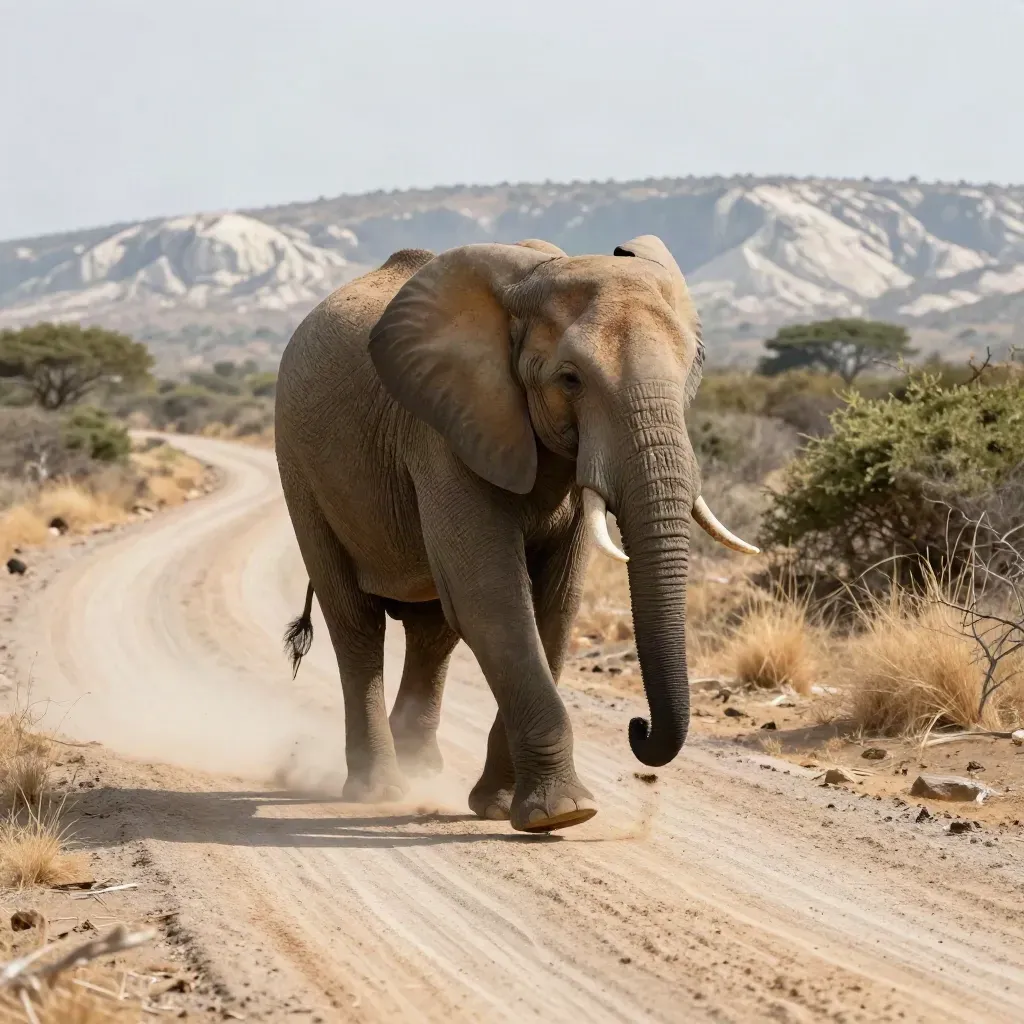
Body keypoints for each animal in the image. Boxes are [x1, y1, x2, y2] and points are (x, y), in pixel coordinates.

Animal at [274, 235, 757, 833]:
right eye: (571, 379)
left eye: (693, 369)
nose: (638, 727)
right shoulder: (444, 430)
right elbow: (494, 600)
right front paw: (562, 815)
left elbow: (554, 606)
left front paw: (504, 807)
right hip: (299, 467)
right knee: (356, 624)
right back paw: (378, 789)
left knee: (433, 631)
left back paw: (421, 770)